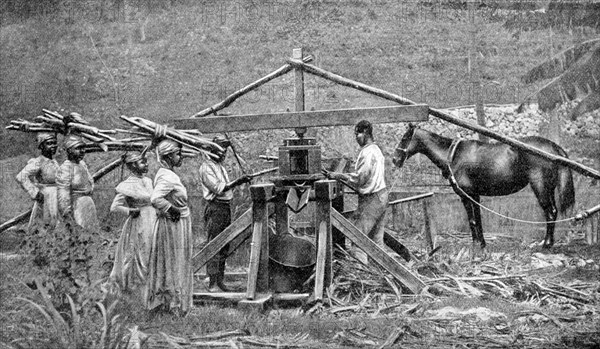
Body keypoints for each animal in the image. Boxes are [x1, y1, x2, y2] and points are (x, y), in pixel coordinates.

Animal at [392, 123, 576, 249]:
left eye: (404, 138)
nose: (395, 159)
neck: (453, 155)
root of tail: (554, 149)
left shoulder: (466, 195)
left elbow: (472, 220)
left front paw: (475, 244)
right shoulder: (475, 195)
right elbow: (478, 219)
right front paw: (482, 243)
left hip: (540, 187)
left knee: (550, 212)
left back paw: (546, 243)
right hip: (549, 188)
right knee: (554, 211)